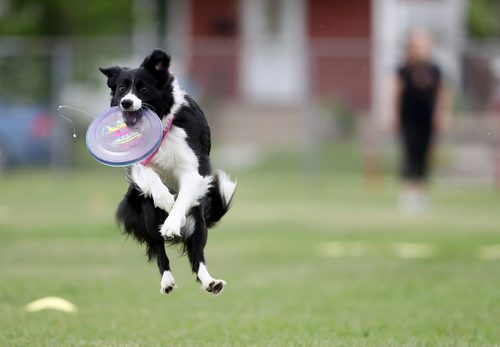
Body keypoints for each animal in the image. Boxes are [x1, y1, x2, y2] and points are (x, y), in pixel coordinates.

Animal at [100, 48, 237, 296]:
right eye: (122, 88)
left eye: (144, 89)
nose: (126, 103)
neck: (162, 123)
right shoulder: (139, 163)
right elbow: (152, 178)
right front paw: (164, 198)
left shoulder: (193, 168)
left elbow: (182, 198)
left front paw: (172, 222)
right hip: (147, 215)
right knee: (159, 250)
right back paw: (167, 281)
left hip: (198, 220)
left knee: (198, 254)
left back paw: (211, 282)